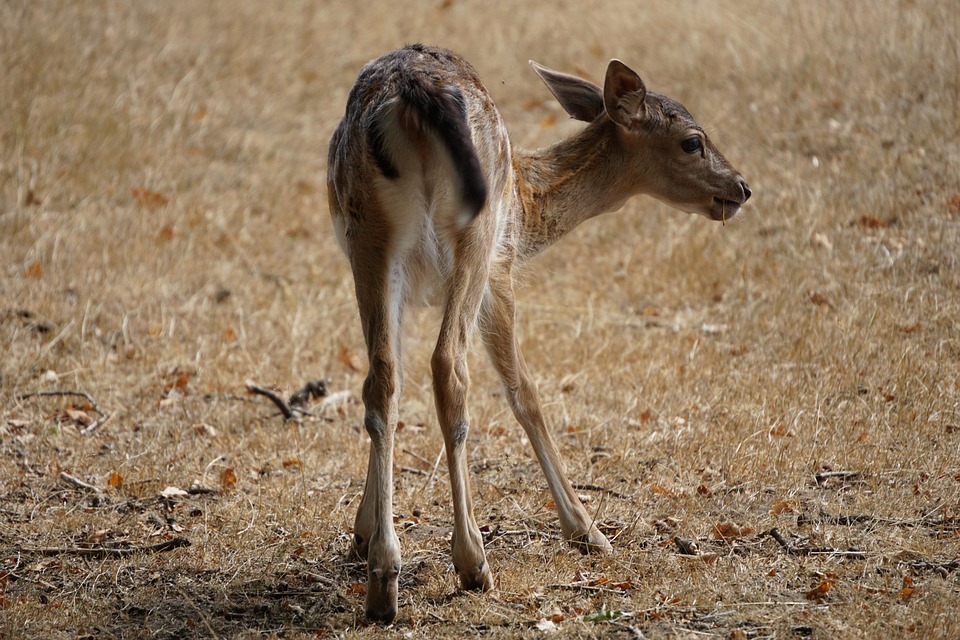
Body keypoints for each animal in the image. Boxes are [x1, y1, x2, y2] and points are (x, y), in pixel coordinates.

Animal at [326, 44, 750, 623]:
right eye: (692, 140)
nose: (742, 188)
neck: (529, 207)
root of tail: (412, 101)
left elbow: (390, 383)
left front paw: (362, 532)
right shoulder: (500, 270)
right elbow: (525, 392)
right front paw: (588, 531)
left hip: (367, 234)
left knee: (381, 378)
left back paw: (382, 577)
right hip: (474, 234)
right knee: (448, 366)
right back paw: (471, 562)